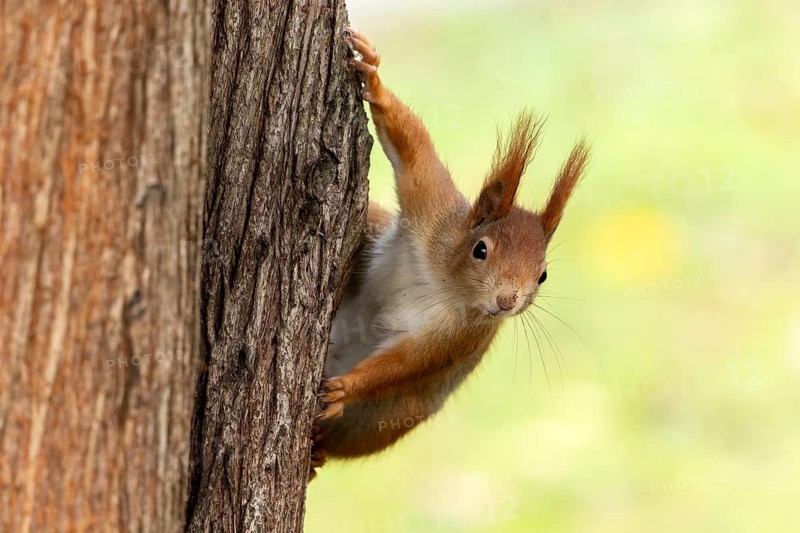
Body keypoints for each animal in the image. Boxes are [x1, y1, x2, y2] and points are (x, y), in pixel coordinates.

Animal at [310, 29, 590, 479]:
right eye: (481, 249)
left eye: (543, 275)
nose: (507, 301)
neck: (444, 283)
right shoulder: (431, 210)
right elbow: (414, 151)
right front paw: (373, 76)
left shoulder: (460, 335)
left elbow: (409, 363)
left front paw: (344, 388)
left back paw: (317, 451)